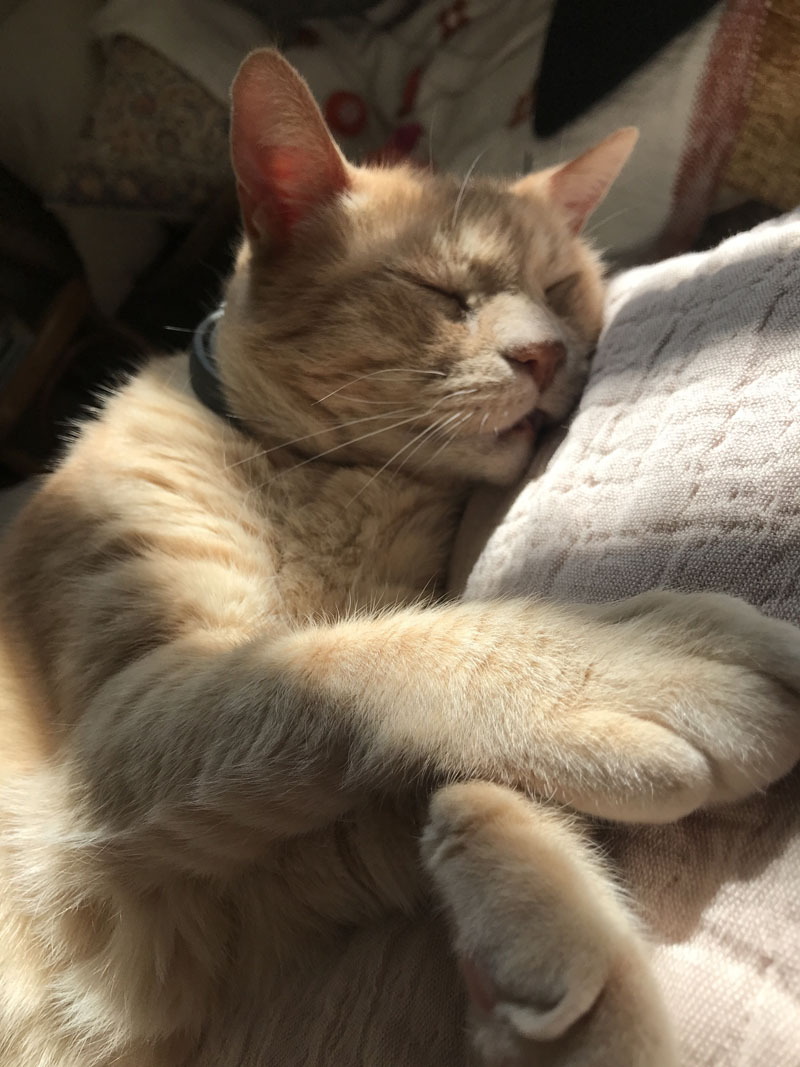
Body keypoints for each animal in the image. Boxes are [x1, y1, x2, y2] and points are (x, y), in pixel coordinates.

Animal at [1, 48, 800, 1067]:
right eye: (440, 294)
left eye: (560, 291)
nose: (546, 355)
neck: (335, 482)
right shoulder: (121, 727)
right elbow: (340, 660)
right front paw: (620, 668)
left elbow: (434, 780)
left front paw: (544, 931)